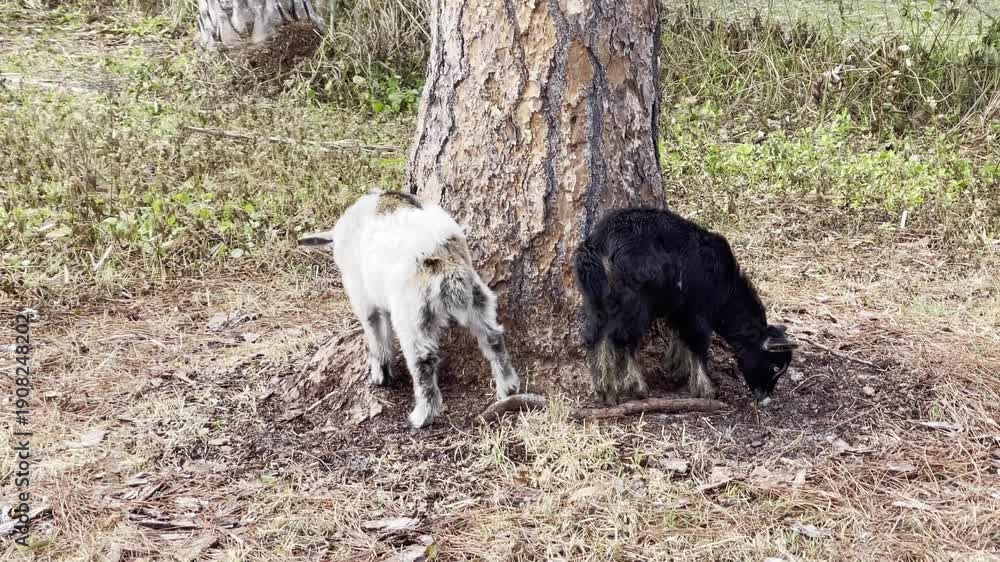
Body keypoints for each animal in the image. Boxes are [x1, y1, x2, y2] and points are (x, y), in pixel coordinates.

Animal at [298, 191, 520, 428]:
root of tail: (443, 260)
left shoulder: (364, 299)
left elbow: (375, 333)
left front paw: (380, 375)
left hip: (412, 313)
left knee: (422, 360)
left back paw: (422, 415)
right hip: (477, 299)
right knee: (492, 336)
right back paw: (508, 387)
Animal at [574, 207, 795, 406]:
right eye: (775, 367)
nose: (765, 398)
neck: (724, 285)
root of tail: (598, 244)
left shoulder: (680, 310)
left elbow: (680, 336)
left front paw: (676, 368)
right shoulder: (697, 312)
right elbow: (698, 344)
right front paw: (706, 389)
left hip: (596, 300)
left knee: (595, 336)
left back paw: (606, 391)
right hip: (634, 302)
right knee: (622, 338)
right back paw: (636, 387)